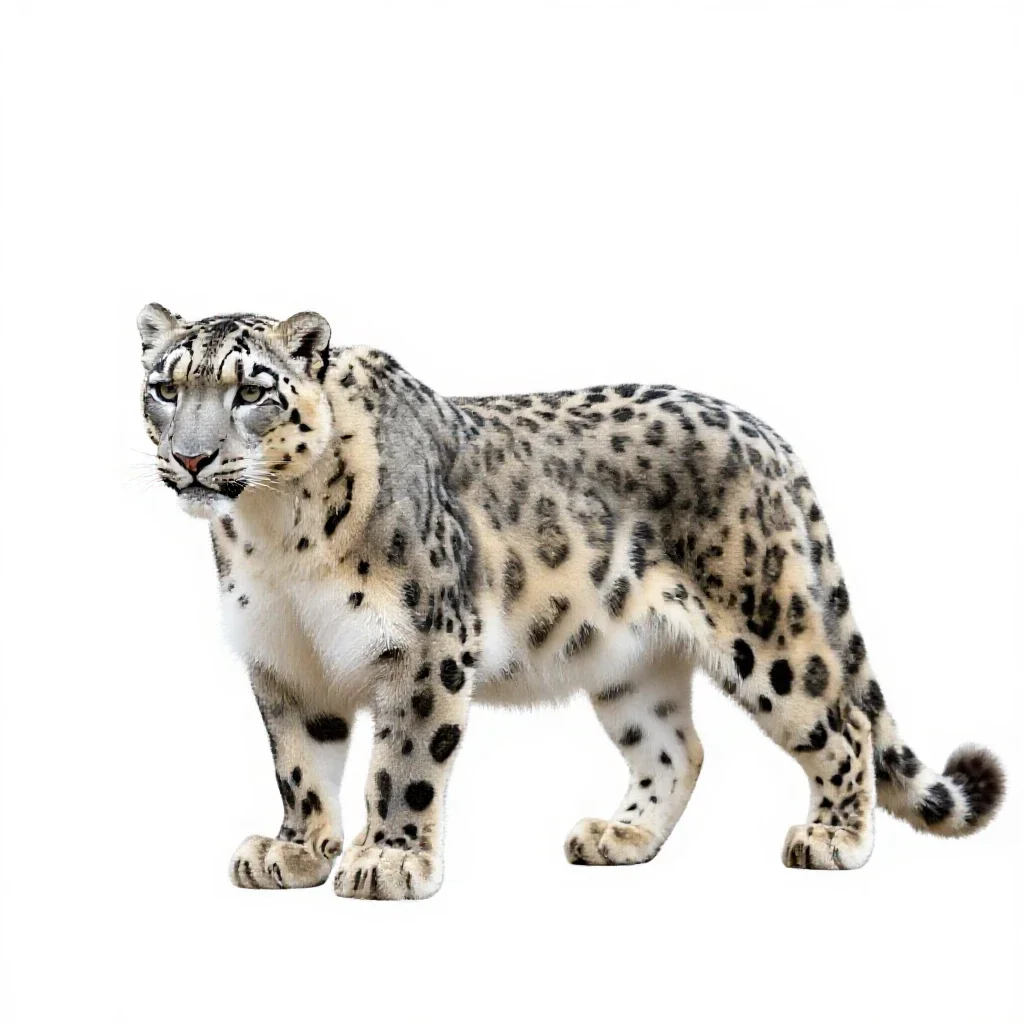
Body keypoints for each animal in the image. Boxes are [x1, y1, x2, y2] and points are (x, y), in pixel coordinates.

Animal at [136, 302, 1005, 898]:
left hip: (769, 630)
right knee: (676, 747)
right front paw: (294, 851)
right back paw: (620, 835)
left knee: (842, 721)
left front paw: (388, 860)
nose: (192, 457)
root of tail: (765, 434)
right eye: (165, 388)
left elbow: (403, 761)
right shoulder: (282, 658)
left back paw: (831, 838)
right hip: (631, 664)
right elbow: (300, 764)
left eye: (251, 390)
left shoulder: (426, 645)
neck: (274, 537)